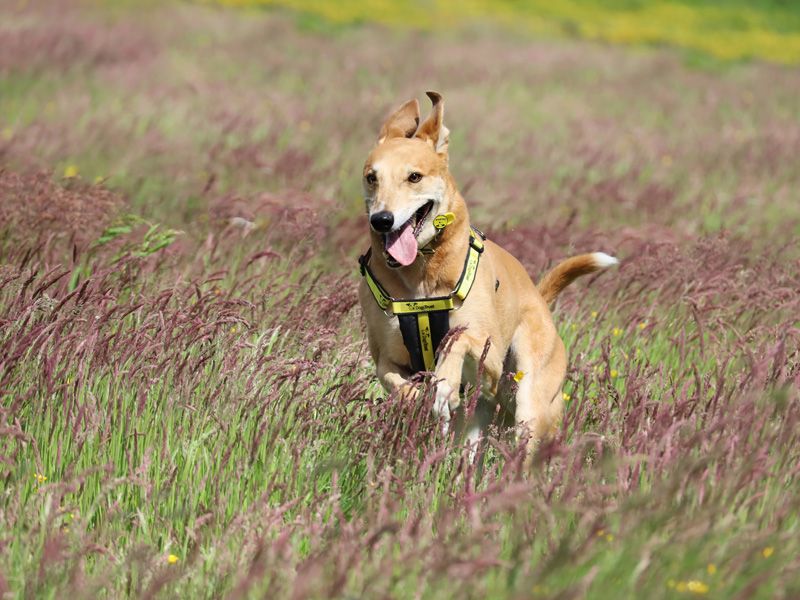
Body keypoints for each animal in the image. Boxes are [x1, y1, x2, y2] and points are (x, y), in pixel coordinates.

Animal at [358, 91, 620, 452]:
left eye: (414, 177)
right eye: (372, 177)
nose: (382, 220)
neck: (420, 279)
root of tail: (539, 298)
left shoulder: (490, 358)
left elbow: (457, 340)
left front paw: (444, 386)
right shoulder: (386, 357)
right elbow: (395, 381)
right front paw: (419, 400)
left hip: (528, 400)